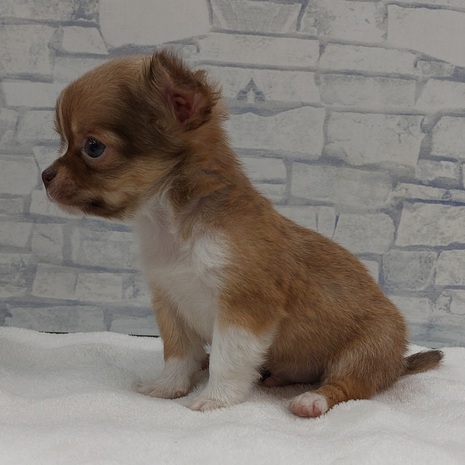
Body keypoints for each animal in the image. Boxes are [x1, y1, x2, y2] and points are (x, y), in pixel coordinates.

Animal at [42, 50, 442, 417]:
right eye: (62, 140)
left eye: (93, 147)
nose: (44, 175)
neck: (172, 225)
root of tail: (398, 362)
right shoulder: (170, 302)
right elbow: (177, 355)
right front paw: (168, 388)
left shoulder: (243, 308)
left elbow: (226, 358)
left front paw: (216, 399)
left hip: (367, 347)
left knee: (349, 385)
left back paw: (312, 399)